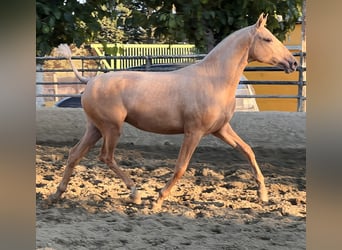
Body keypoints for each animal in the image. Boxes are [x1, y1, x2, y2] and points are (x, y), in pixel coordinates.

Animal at [48, 13, 296, 209]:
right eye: (267, 38)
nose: (292, 63)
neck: (214, 80)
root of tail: (89, 81)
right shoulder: (193, 132)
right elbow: (181, 167)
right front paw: (159, 199)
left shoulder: (221, 129)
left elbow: (248, 151)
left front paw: (263, 195)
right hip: (111, 128)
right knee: (105, 157)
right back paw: (135, 194)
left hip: (95, 128)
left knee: (74, 154)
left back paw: (57, 194)